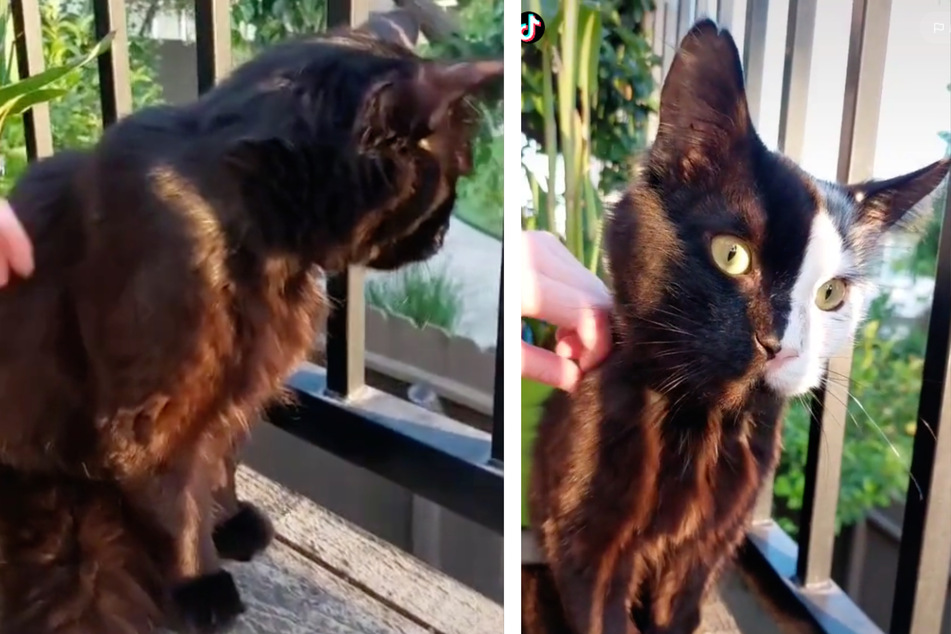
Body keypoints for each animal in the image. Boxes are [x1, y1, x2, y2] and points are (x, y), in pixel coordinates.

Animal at [0, 14, 506, 632]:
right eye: (451, 178)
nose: (441, 236)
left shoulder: (232, 391)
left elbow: (218, 467)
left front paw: (230, 521)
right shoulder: (155, 412)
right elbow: (176, 497)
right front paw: (201, 580)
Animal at [524, 18, 948, 632]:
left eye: (831, 294)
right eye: (732, 255)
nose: (780, 344)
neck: (700, 432)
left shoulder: (706, 552)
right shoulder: (585, 547)